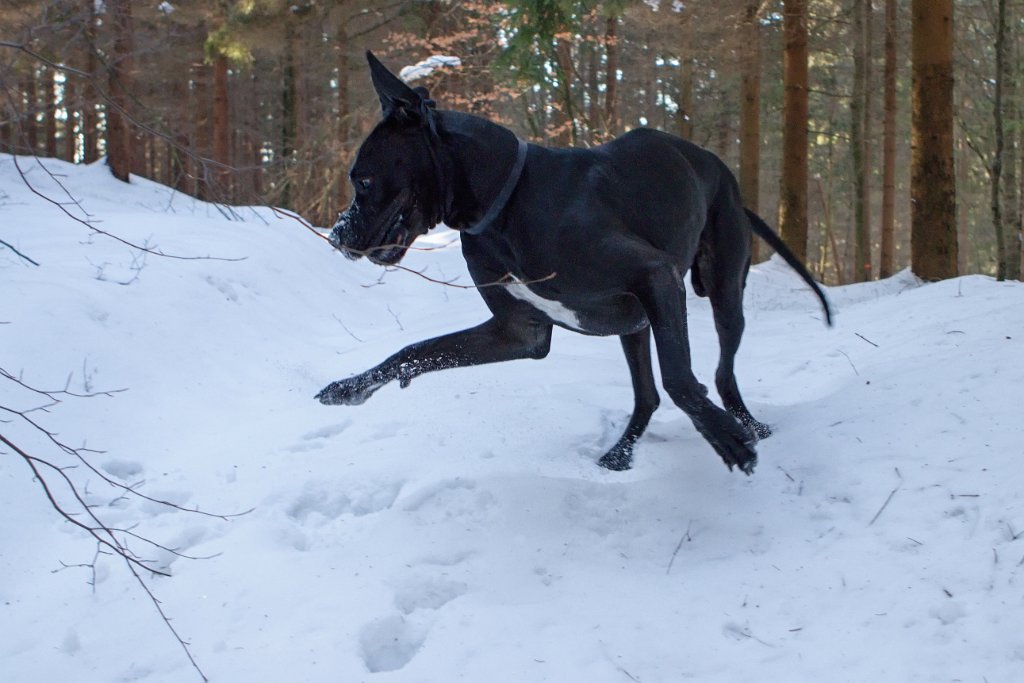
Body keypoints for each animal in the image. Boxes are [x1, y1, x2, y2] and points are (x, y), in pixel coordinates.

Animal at [317, 52, 831, 475]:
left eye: (362, 180)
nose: (337, 236)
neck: (504, 208)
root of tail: (721, 171)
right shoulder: (520, 332)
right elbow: (414, 351)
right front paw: (350, 386)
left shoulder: (658, 276)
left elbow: (681, 379)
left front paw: (726, 439)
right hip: (636, 323)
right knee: (647, 395)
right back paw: (622, 453)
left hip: (719, 291)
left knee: (721, 373)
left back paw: (746, 427)